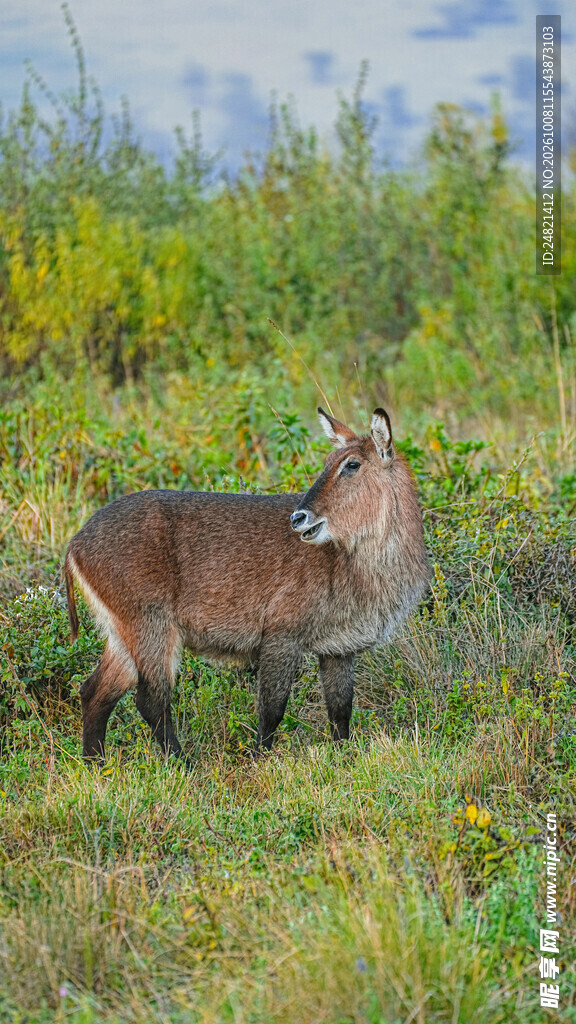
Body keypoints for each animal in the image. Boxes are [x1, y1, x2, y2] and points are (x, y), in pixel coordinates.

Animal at [64, 407, 430, 764]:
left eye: (352, 464)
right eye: (328, 461)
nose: (298, 518)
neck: (357, 562)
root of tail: (75, 543)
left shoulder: (339, 648)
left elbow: (340, 711)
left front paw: (344, 757)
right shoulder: (282, 635)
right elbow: (272, 708)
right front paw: (259, 759)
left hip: (121, 634)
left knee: (94, 692)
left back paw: (96, 765)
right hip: (151, 626)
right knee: (149, 700)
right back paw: (184, 764)